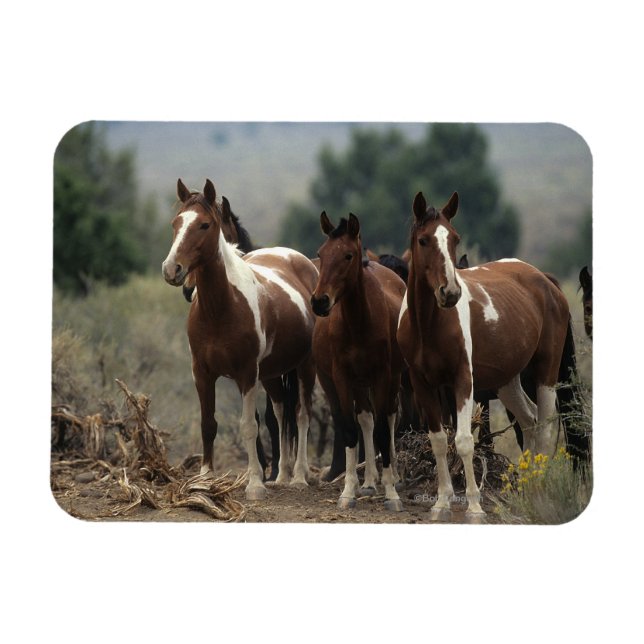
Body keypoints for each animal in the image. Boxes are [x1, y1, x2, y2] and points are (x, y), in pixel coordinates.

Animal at [162, 179, 318, 500]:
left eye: (205, 224)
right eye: (176, 223)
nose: (172, 270)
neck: (221, 308)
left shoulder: (246, 374)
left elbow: (249, 426)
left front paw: (255, 484)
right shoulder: (202, 373)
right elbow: (208, 424)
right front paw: (204, 479)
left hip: (305, 366)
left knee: (301, 414)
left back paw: (298, 476)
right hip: (272, 374)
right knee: (281, 412)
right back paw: (281, 475)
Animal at [311, 212, 407, 511]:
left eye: (348, 255)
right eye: (321, 253)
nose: (320, 301)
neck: (358, 323)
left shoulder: (382, 375)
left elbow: (383, 431)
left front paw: (392, 494)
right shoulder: (342, 378)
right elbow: (352, 429)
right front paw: (348, 492)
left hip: (391, 378)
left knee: (389, 417)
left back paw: (392, 477)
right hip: (352, 383)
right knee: (365, 418)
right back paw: (369, 482)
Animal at [397, 191, 575, 520]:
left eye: (454, 238)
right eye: (424, 240)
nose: (450, 293)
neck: (428, 325)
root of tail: (544, 279)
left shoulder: (462, 381)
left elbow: (464, 441)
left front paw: (475, 507)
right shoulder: (422, 383)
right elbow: (439, 441)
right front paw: (441, 504)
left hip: (546, 371)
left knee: (544, 427)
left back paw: (542, 493)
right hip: (508, 380)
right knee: (529, 421)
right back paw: (529, 490)